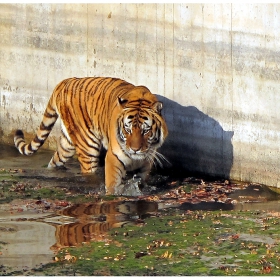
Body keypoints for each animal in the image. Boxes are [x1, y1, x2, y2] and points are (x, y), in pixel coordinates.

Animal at [14, 76, 167, 195]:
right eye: (127, 130)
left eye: (145, 131)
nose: (134, 150)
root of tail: (64, 82)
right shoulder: (114, 158)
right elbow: (113, 185)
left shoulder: (146, 164)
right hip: (88, 146)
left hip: (67, 146)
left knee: (55, 160)